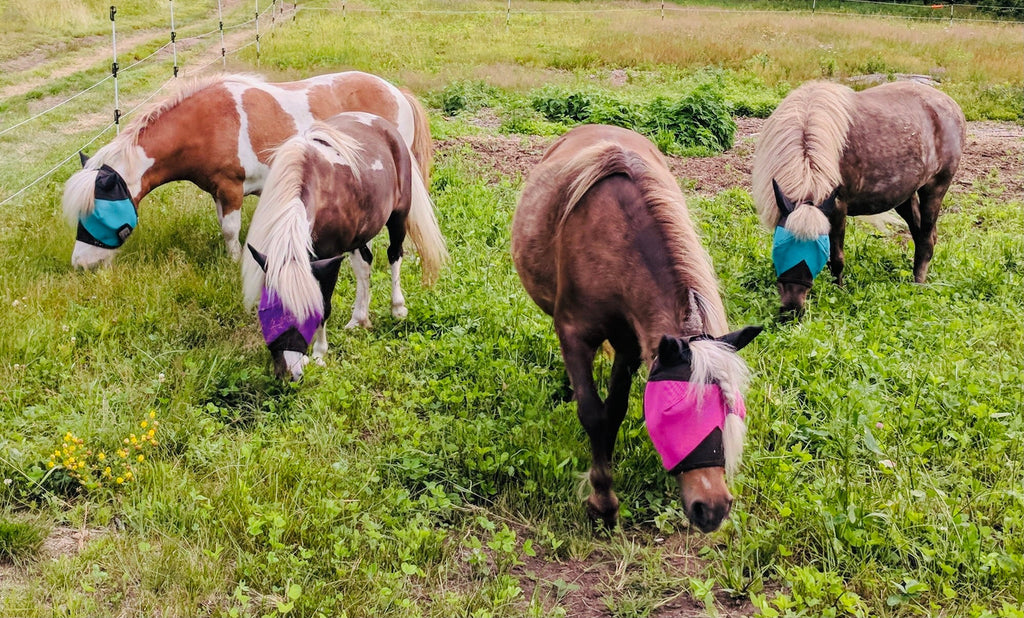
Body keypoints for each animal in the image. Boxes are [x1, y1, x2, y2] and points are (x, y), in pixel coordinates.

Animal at [62, 71, 433, 269]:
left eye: (97, 214)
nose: (81, 263)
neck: (207, 123)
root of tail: (398, 92)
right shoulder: (218, 192)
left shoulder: (231, 187)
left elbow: (230, 230)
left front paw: (233, 262)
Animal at [241, 112, 447, 381]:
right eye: (267, 313)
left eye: (306, 316)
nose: (289, 374)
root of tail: (384, 124)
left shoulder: (330, 258)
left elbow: (325, 306)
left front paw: (319, 354)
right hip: (360, 234)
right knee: (365, 265)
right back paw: (359, 318)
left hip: (398, 217)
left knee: (395, 255)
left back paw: (397, 308)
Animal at [511, 124, 761, 533]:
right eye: (672, 412)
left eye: (730, 409)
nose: (713, 508)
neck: (616, 242)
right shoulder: (575, 334)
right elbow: (593, 414)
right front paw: (602, 500)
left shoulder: (631, 346)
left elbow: (613, 410)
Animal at [751, 80, 966, 316]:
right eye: (781, 246)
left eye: (818, 249)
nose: (792, 309)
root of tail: (950, 104)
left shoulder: (837, 208)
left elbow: (837, 259)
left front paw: (839, 291)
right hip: (905, 196)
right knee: (922, 235)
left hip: (935, 187)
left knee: (926, 239)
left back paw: (918, 284)